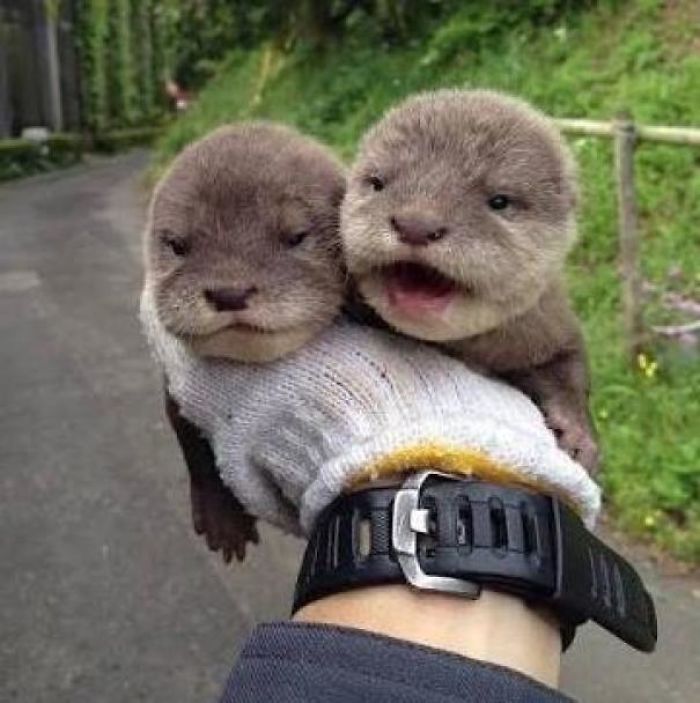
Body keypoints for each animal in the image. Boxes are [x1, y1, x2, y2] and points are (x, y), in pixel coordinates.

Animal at [143, 122, 346, 561]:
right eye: (178, 245)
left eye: (296, 236)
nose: (229, 292)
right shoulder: (174, 394)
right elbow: (194, 450)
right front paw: (223, 518)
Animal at [341, 89, 598, 472]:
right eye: (377, 183)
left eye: (499, 201)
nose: (415, 224)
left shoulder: (548, 325)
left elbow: (570, 368)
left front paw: (578, 433)